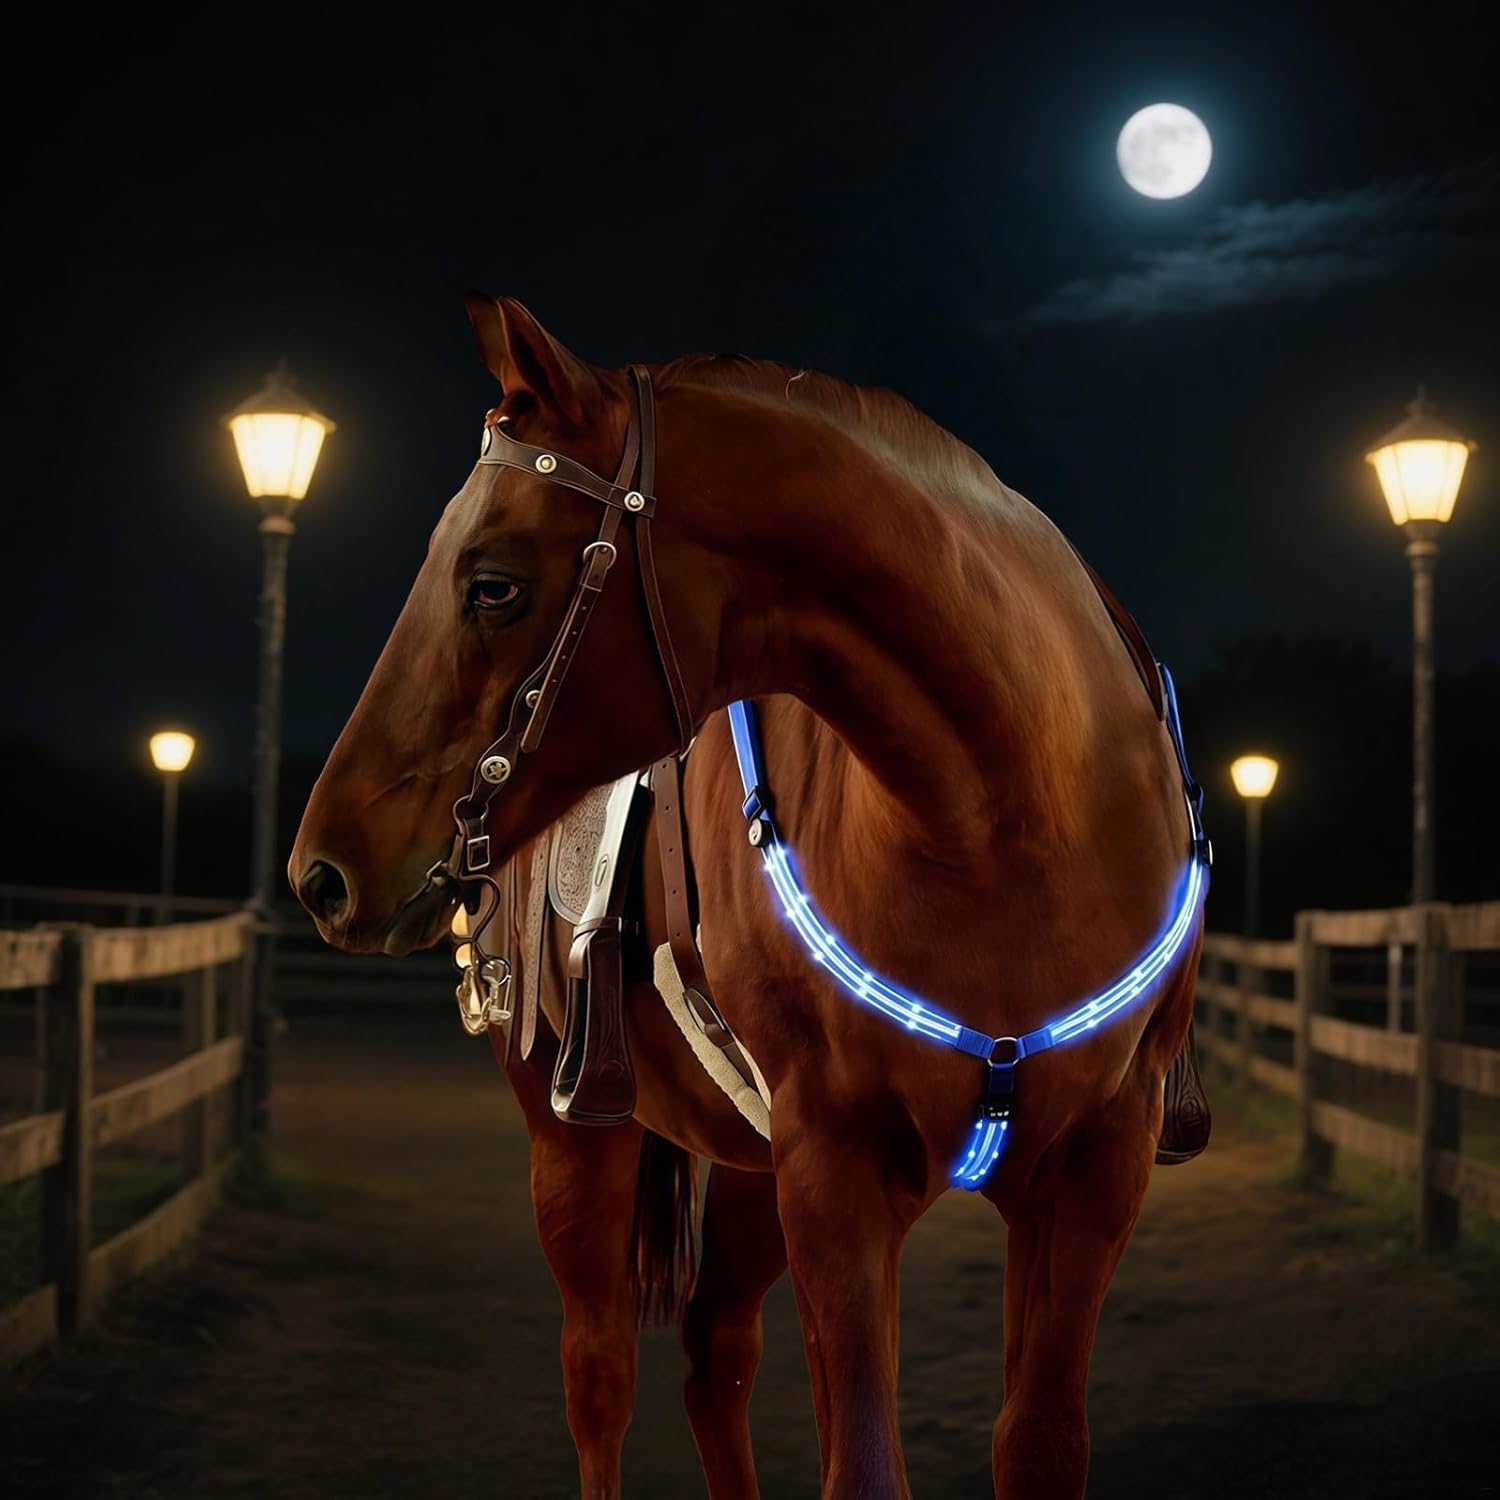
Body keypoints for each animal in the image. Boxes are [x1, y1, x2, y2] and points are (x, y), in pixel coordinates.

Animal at [289, 293, 1209, 1499]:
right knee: (601, 1376)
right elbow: (861, 1467)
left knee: (713, 1359)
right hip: (576, 1140)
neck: (1008, 824)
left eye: (493, 583)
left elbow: (1039, 1446)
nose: (321, 870)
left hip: (747, 1168)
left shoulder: (1094, 1171)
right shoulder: (835, 1172)